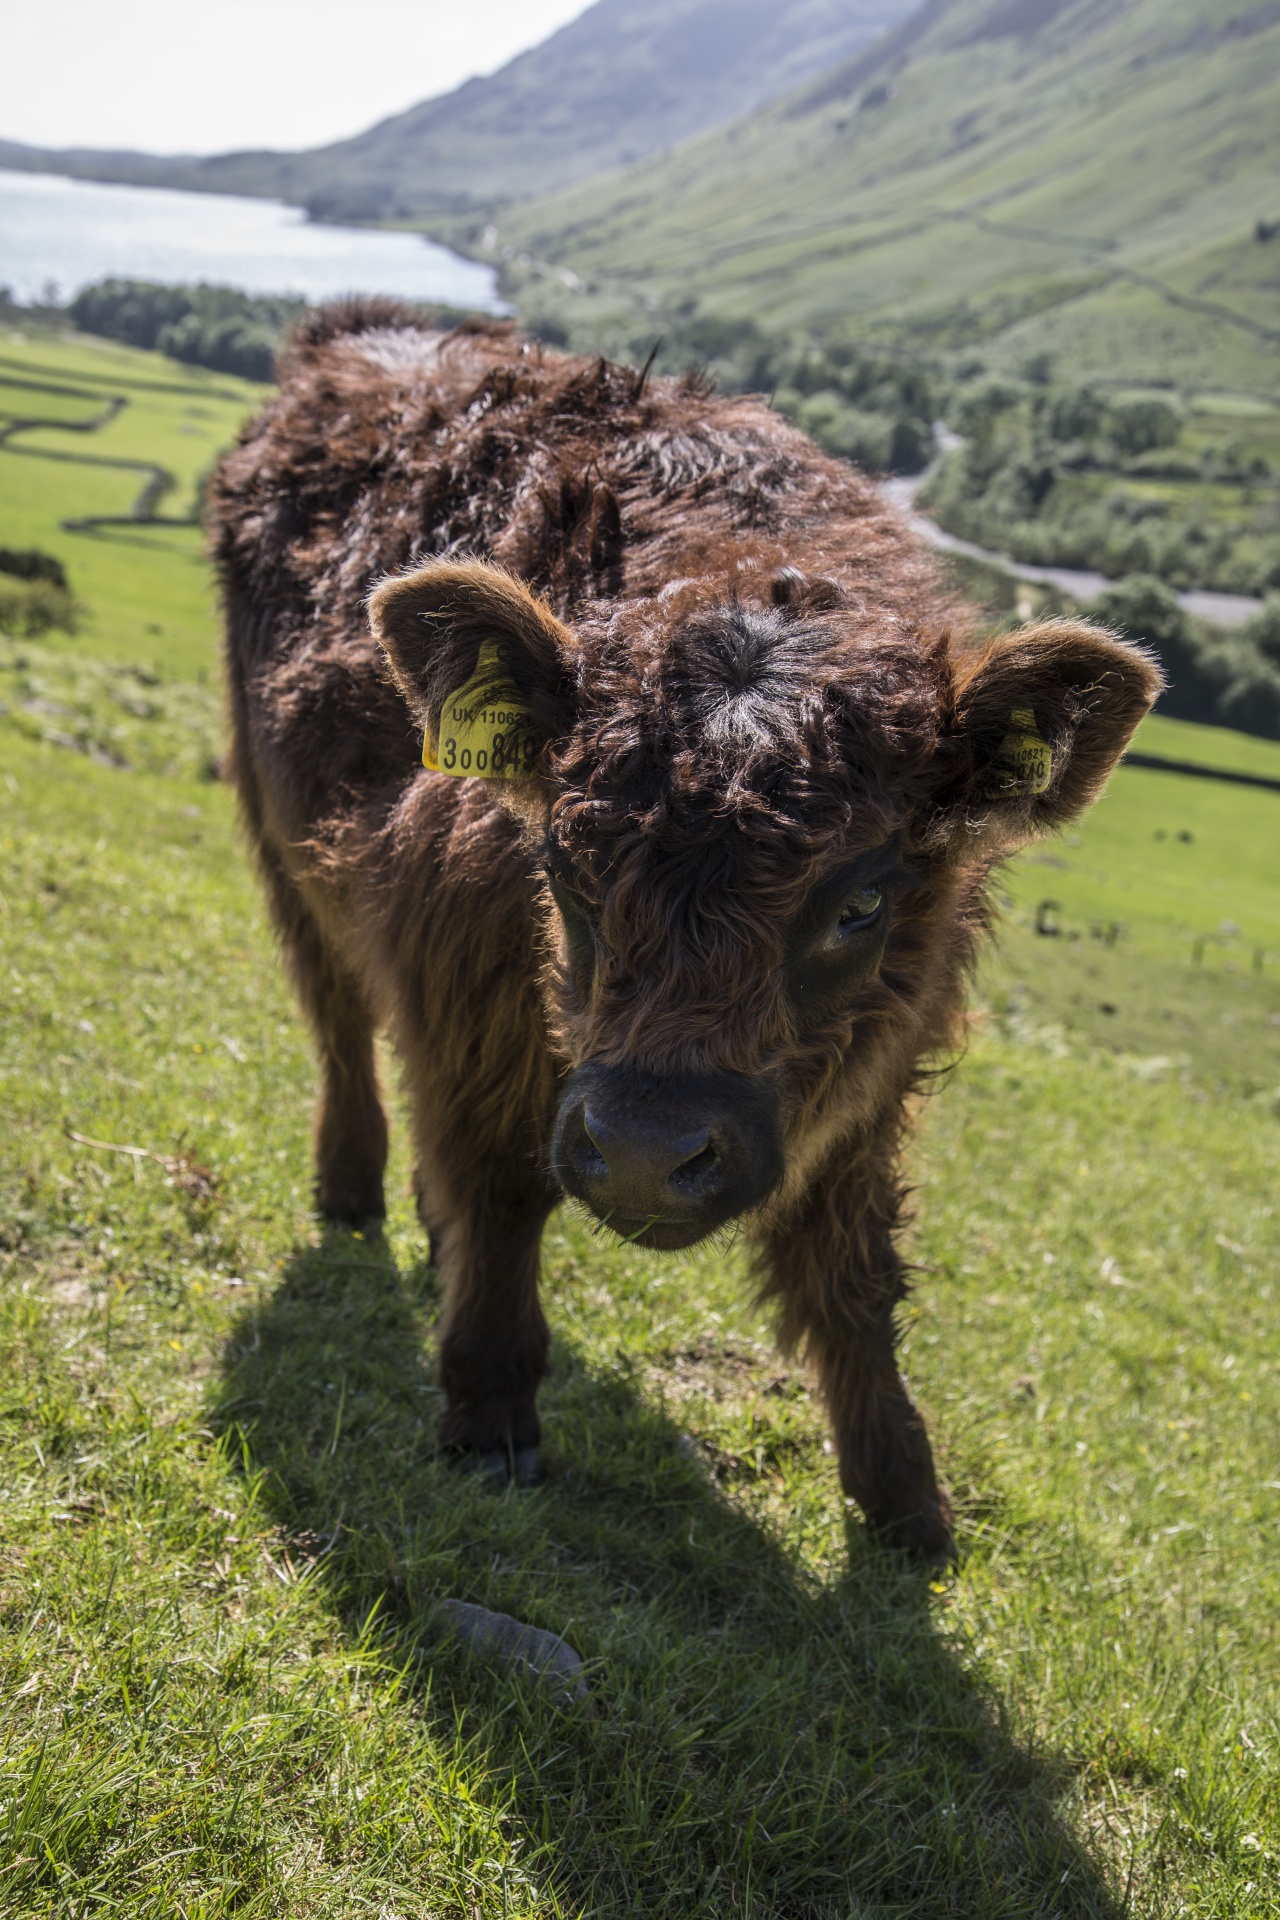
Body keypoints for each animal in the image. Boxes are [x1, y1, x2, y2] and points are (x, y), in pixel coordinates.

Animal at [213, 303, 1159, 1559]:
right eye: (562, 867)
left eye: (858, 903)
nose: (647, 1154)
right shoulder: (464, 998)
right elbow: (500, 1188)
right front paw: (489, 1410)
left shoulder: (871, 1083)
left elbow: (852, 1276)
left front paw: (904, 1498)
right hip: (281, 840)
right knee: (336, 1025)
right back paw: (353, 1188)